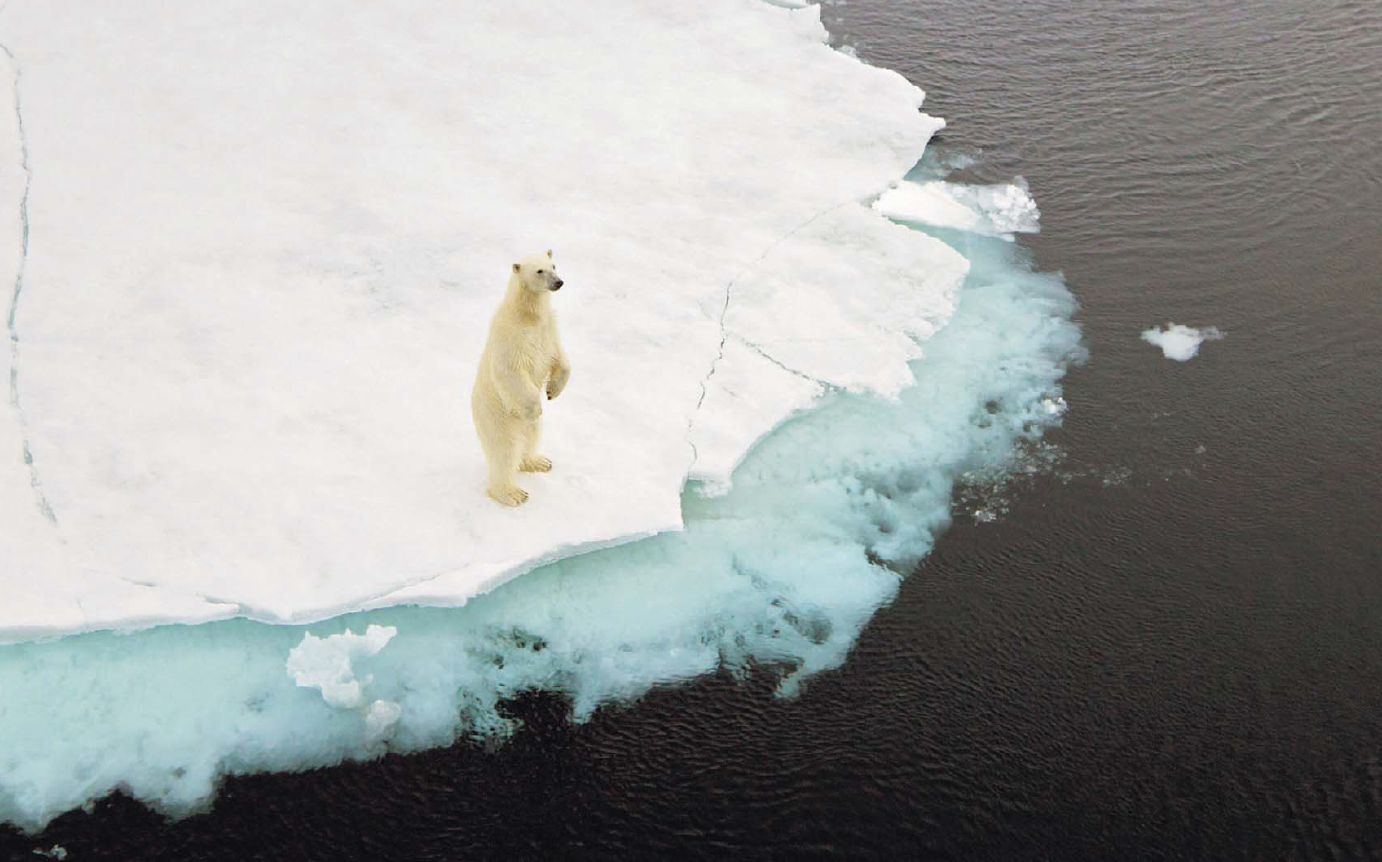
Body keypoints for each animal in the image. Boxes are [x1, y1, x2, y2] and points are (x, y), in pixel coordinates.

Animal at [469, 248, 566, 505]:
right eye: (539, 271)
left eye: (554, 265)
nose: (558, 282)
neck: (527, 315)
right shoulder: (511, 335)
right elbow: (510, 370)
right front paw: (536, 407)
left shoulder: (548, 328)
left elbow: (558, 356)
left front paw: (553, 390)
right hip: (497, 417)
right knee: (504, 450)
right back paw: (511, 493)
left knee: (531, 435)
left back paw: (538, 461)